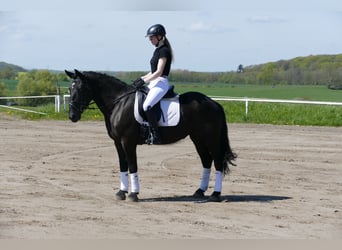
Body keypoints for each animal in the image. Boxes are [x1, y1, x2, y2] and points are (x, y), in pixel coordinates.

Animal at [65, 69, 235, 202]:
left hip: (210, 139)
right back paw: (199, 192)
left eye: (81, 89)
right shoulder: (117, 142)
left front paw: (133, 194)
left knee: (217, 161)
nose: (72, 116)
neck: (118, 103)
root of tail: (214, 103)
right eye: (69, 89)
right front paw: (121, 192)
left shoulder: (128, 141)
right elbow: (122, 165)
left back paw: (215, 194)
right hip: (197, 138)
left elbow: (132, 165)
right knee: (206, 161)